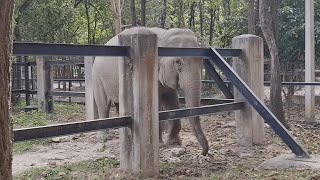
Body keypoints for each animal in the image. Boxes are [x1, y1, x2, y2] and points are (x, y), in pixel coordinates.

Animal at [91, 27, 209, 156]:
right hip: (97, 77)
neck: (164, 35)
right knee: (103, 105)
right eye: (177, 62)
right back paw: (103, 137)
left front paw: (174, 143)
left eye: (201, 60)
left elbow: (172, 102)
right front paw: (161, 145)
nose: (203, 153)